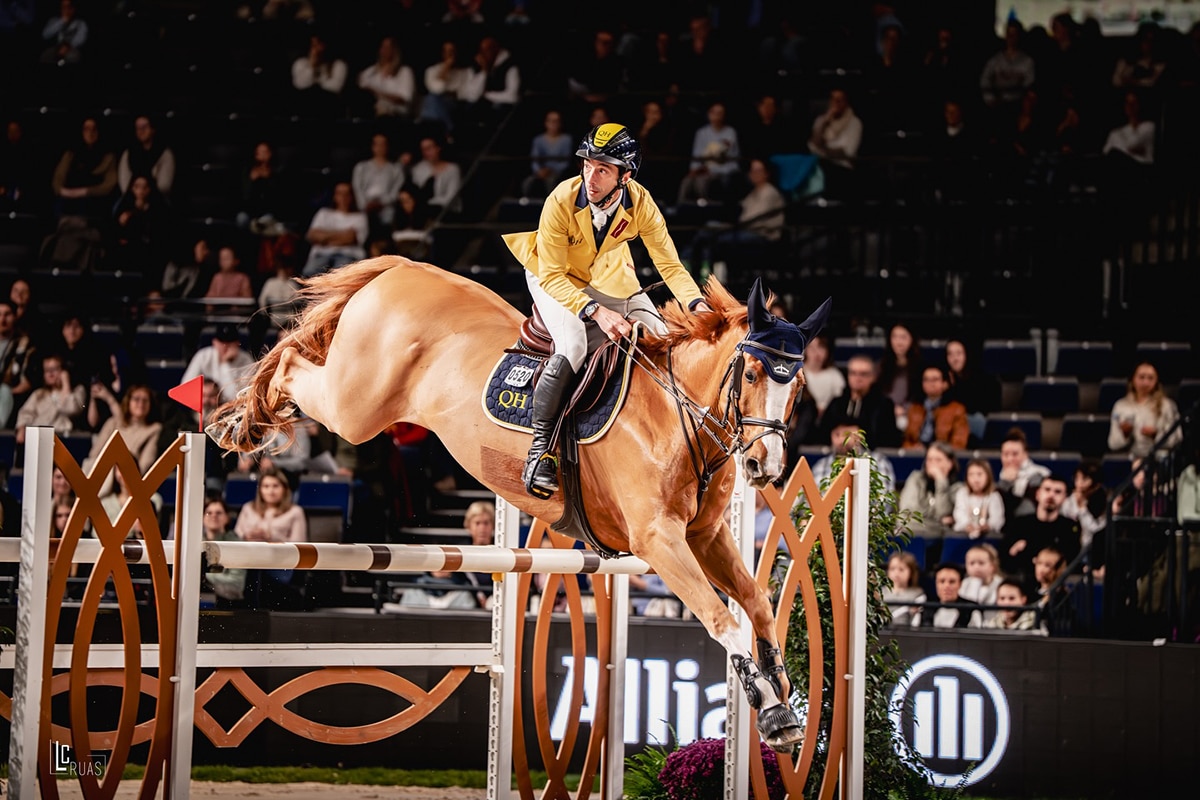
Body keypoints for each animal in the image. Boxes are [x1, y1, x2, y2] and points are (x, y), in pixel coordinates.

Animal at [209, 255, 831, 751]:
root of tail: (401, 267)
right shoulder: (659, 541)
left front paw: (783, 700)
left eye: (798, 386)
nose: (766, 467)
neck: (675, 418)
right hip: (354, 406)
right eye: (752, 373)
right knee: (292, 365)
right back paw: (240, 423)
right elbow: (721, 617)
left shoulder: (705, 536)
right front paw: (772, 711)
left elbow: (757, 605)